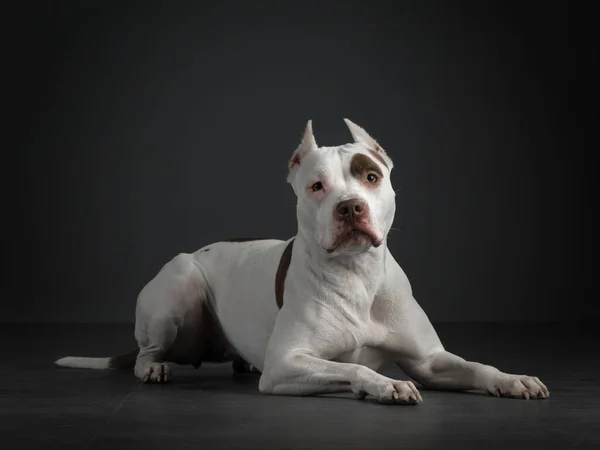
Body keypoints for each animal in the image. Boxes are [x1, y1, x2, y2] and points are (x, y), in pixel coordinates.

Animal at [56, 119, 548, 404]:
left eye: (371, 176)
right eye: (316, 186)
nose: (350, 207)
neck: (356, 275)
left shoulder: (431, 360)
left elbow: (476, 367)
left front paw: (514, 379)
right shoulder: (287, 363)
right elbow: (352, 366)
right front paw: (384, 384)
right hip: (180, 281)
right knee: (147, 351)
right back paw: (155, 366)